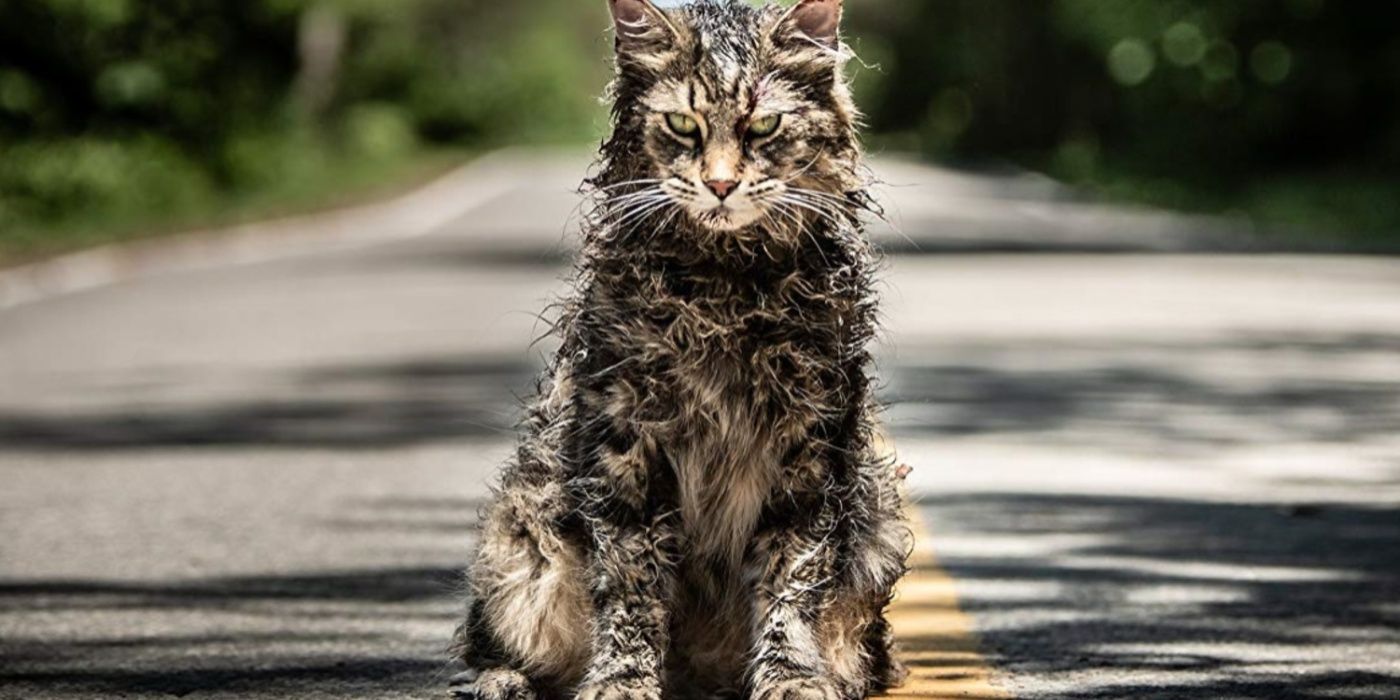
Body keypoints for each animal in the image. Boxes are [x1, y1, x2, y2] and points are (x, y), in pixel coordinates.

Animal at [448, 2, 907, 697]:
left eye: (763, 125)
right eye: (683, 125)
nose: (719, 184)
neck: (725, 288)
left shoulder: (809, 447)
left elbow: (792, 579)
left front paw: (791, 676)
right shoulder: (625, 443)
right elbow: (631, 586)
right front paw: (622, 680)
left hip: (876, 520)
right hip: (519, 541)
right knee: (492, 644)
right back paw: (507, 682)